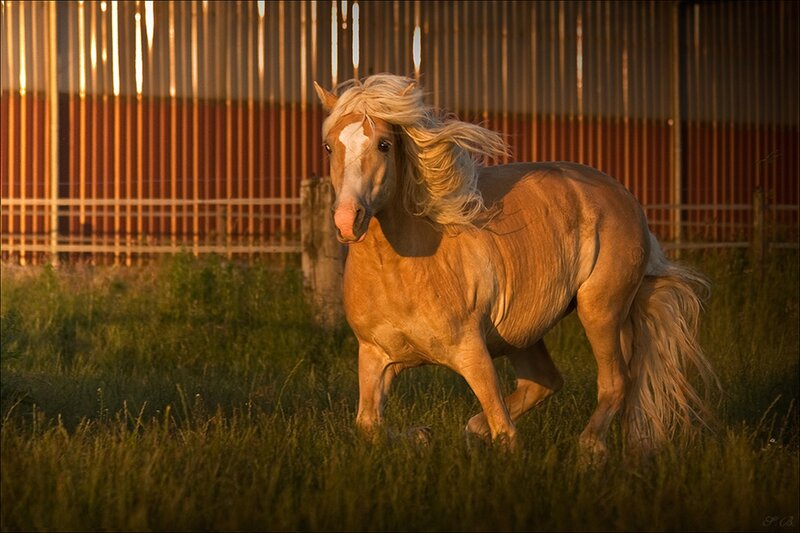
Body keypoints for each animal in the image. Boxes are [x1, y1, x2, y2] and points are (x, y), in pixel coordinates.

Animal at [313, 73, 718, 459]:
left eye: (384, 144)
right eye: (329, 146)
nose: (347, 221)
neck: (405, 268)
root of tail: (625, 198)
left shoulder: (472, 353)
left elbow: (506, 433)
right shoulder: (375, 357)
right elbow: (369, 425)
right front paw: (422, 435)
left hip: (600, 311)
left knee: (615, 382)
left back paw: (589, 450)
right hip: (523, 334)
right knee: (546, 381)